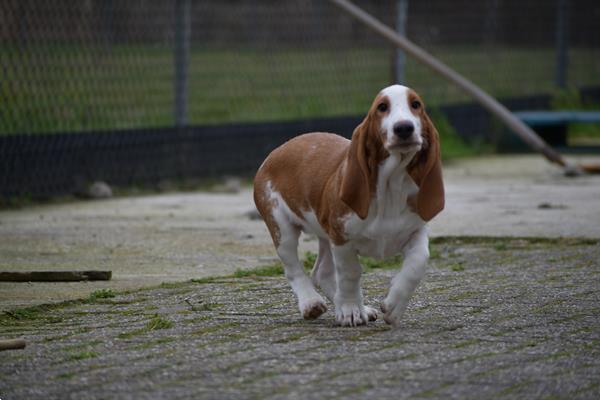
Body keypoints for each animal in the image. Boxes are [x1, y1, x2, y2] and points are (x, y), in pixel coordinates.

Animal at [253, 84, 446, 328]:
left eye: (416, 104)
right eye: (382, 107)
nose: (404, 128)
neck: (390, 187)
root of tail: (275, 152)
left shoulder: (416, 231)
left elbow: (417, 264)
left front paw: (393, 307)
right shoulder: (342, 239)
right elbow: (351, 273)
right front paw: (351, 310)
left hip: (324, 233)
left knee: (322, 272)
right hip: (281, 227)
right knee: (293, 267)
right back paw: (311, 302)